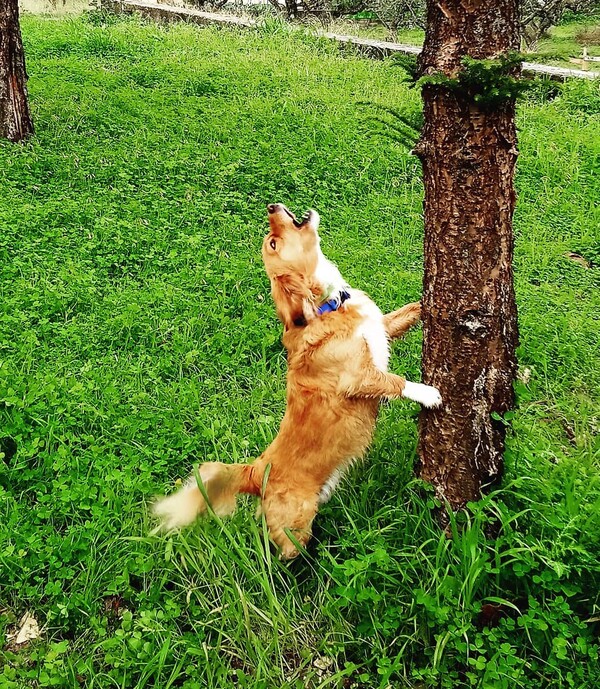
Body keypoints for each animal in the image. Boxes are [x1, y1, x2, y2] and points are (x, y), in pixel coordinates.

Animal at [152, 204, 438, 560]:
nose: (271, 207)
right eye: (272, 243)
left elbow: (403, 314)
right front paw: (429, 393)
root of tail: (255, 471)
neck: (328, 306)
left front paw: (426, 304)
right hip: (295, 527)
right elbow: (394, 381)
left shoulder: (382, 327)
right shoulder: (357, 377)